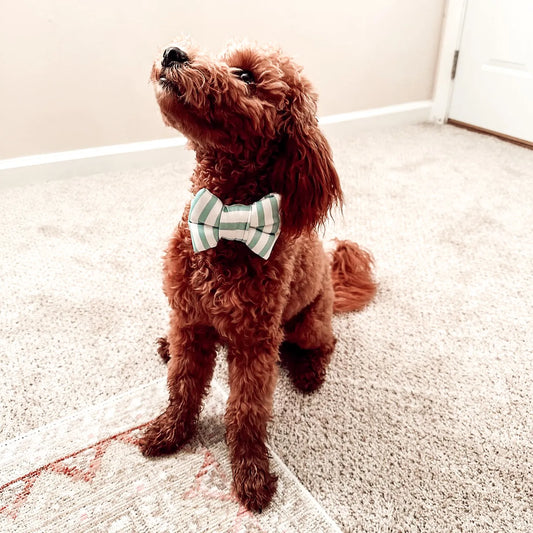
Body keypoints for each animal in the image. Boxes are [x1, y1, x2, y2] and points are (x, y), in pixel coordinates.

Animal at [139, 41, 376, 512]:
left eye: (246, 76)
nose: (173, 52)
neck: (227, 221)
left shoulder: (255, 343)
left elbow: (246, 412)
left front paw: (251, 475)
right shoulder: (189, 320)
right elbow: (182, 385)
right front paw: (169, 432)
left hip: (306, 324)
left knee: (326, 343)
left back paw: (308, 374)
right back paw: (164, 346)